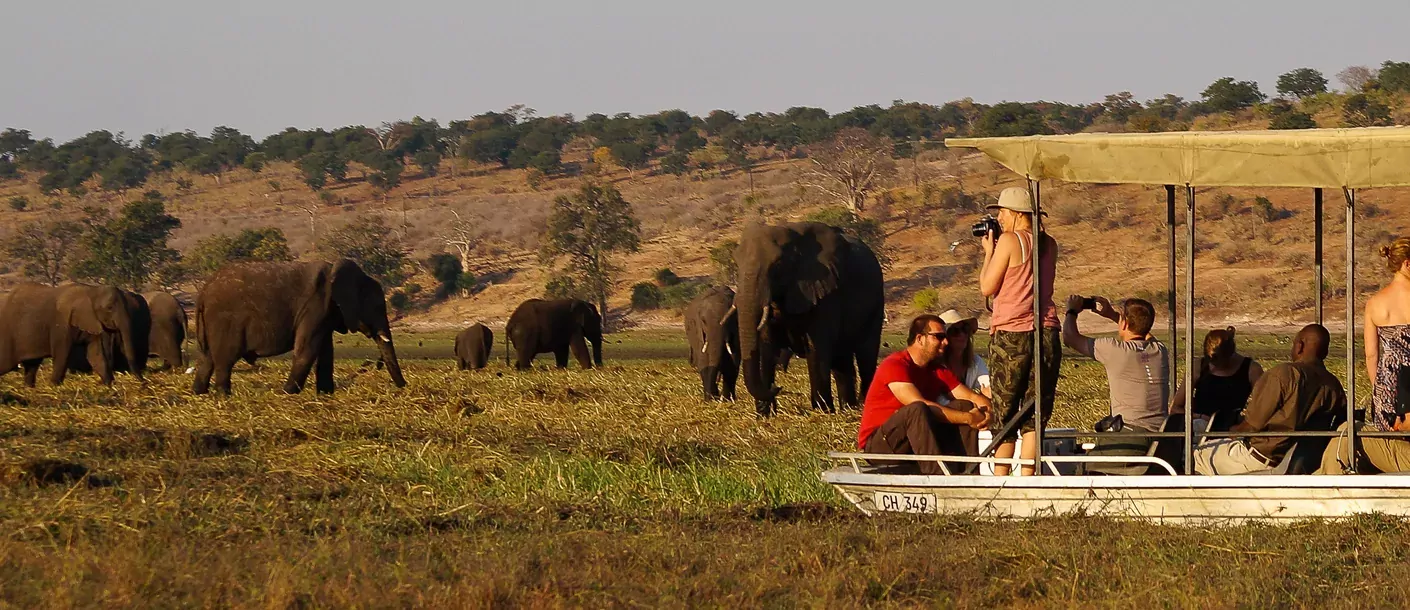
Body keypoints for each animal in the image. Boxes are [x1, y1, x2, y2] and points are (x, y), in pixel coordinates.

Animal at [0, 281, 145, 386]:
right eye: (109, 308)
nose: (144, 383)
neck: (92, 291)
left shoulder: (92, 322)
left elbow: (96, 354)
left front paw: (109, 385)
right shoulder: (61, 325)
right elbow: (62, 354)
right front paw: (54, 386)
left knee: (31, 365)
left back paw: (29, 388)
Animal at [191, 257, 408, 394]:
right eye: (377, 307)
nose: (403, 386)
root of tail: (203, 292)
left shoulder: (325, 313)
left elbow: (325, 352)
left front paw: (325, 394)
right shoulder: (316, 306)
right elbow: (307, 349)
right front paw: (288, 393)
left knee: (207, 359)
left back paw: (199, 393)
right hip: (224, 321)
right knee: (225, 360)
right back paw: (223, 394)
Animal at [733, 221, 885, 416]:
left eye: (778, 264)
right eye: (736, 263)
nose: (777, 387)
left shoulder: (825, 292)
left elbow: (817, 348)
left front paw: (822, 411)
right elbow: (766, 346)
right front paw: (764, 415)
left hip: (876, 301)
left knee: (866, 352)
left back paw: (863, 404)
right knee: (842, 360)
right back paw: (849, 408)